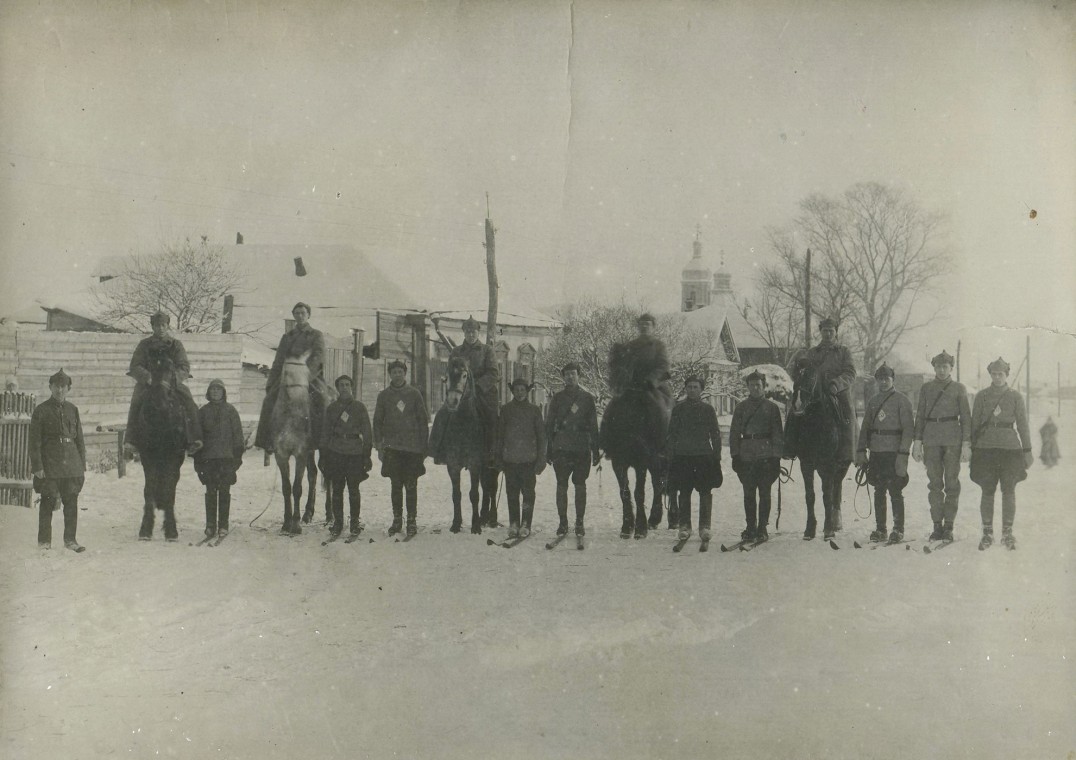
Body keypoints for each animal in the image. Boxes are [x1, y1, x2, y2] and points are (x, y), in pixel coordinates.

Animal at [132, 355, 195, 538]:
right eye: (151, 370)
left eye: (171, 370)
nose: (160, 401)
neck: (161, 419)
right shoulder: (147, 456)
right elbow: (149, 489)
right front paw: (146, 528)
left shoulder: (174, 457)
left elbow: (169, 489)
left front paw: (171, 529)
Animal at [269, 350, 322, 533]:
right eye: (287, 374)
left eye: (307, 374)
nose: (306, 416)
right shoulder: (281, 455)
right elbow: (286, 488)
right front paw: (287, 522)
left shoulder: (300, 454)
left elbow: (297, 488)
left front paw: (296, 524)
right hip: (310, 452)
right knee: (313, 474)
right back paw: (308, 513)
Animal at [430, 359, 490, 533]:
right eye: (447, 374)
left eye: (464, 375)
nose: (452, 401)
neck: (463, 424)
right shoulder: (453, 464)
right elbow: (456, 494)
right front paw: (456, 523)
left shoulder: (475, 464)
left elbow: (474, 494)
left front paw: (475, 525)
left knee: (489, 488)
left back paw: (487, 517)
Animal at [783, 357, 847, 536]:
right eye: (795, 376)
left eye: (811, 377)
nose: (797, 405)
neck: (815, 424)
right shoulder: (806, 464)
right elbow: (810, 495)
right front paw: (810, 528)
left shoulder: (829, 464)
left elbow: (827, 495)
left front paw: (828, 528)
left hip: (841, 467)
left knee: (836, 489)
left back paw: (836, 522)